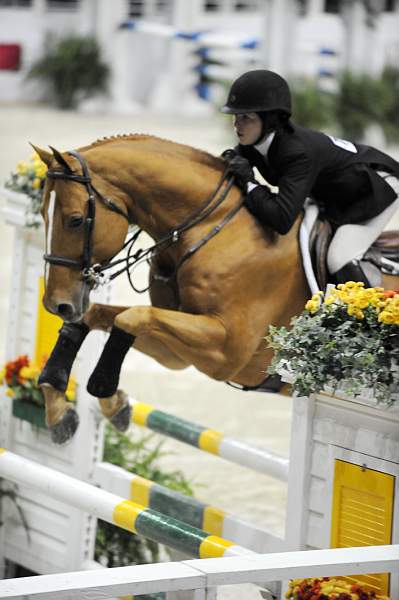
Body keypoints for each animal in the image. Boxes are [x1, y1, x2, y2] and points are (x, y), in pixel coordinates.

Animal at [32, 137, 399, 446]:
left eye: (75, 220)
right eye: (42, 214)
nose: (56, 305)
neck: (212, 227)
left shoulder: (225, 352)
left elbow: (131, 318)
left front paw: (102, 389)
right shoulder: (176, 353)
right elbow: (101, 316)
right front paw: (66, 410)